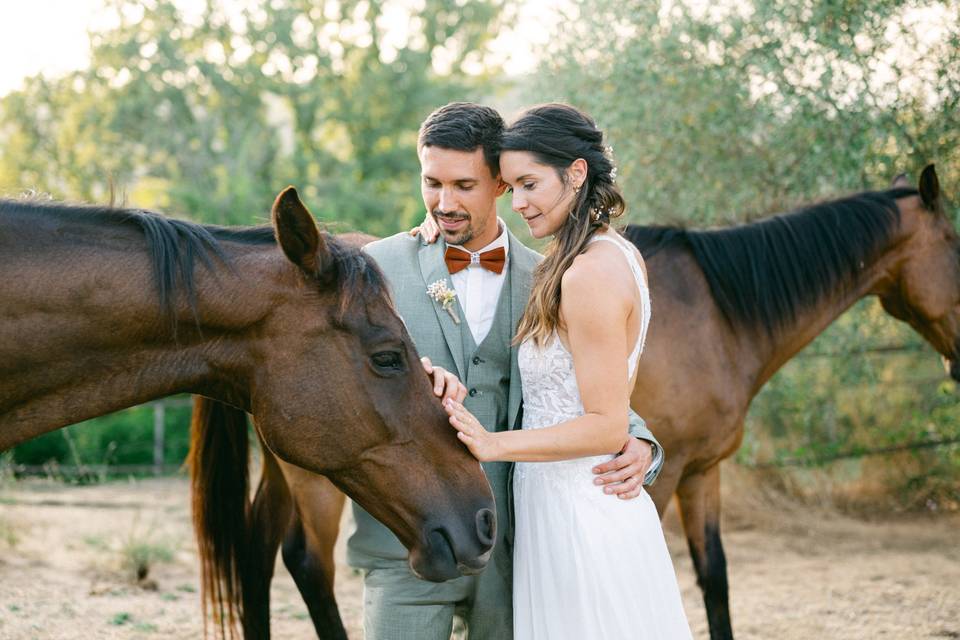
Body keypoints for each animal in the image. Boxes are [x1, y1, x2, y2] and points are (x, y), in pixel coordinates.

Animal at [195, 165, 960, 640]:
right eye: (955, 243)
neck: (718, 312)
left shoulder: (702, 472)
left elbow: (714, 578)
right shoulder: (657, 480)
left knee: (257, 551)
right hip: (326, 475)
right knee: (306, 561)